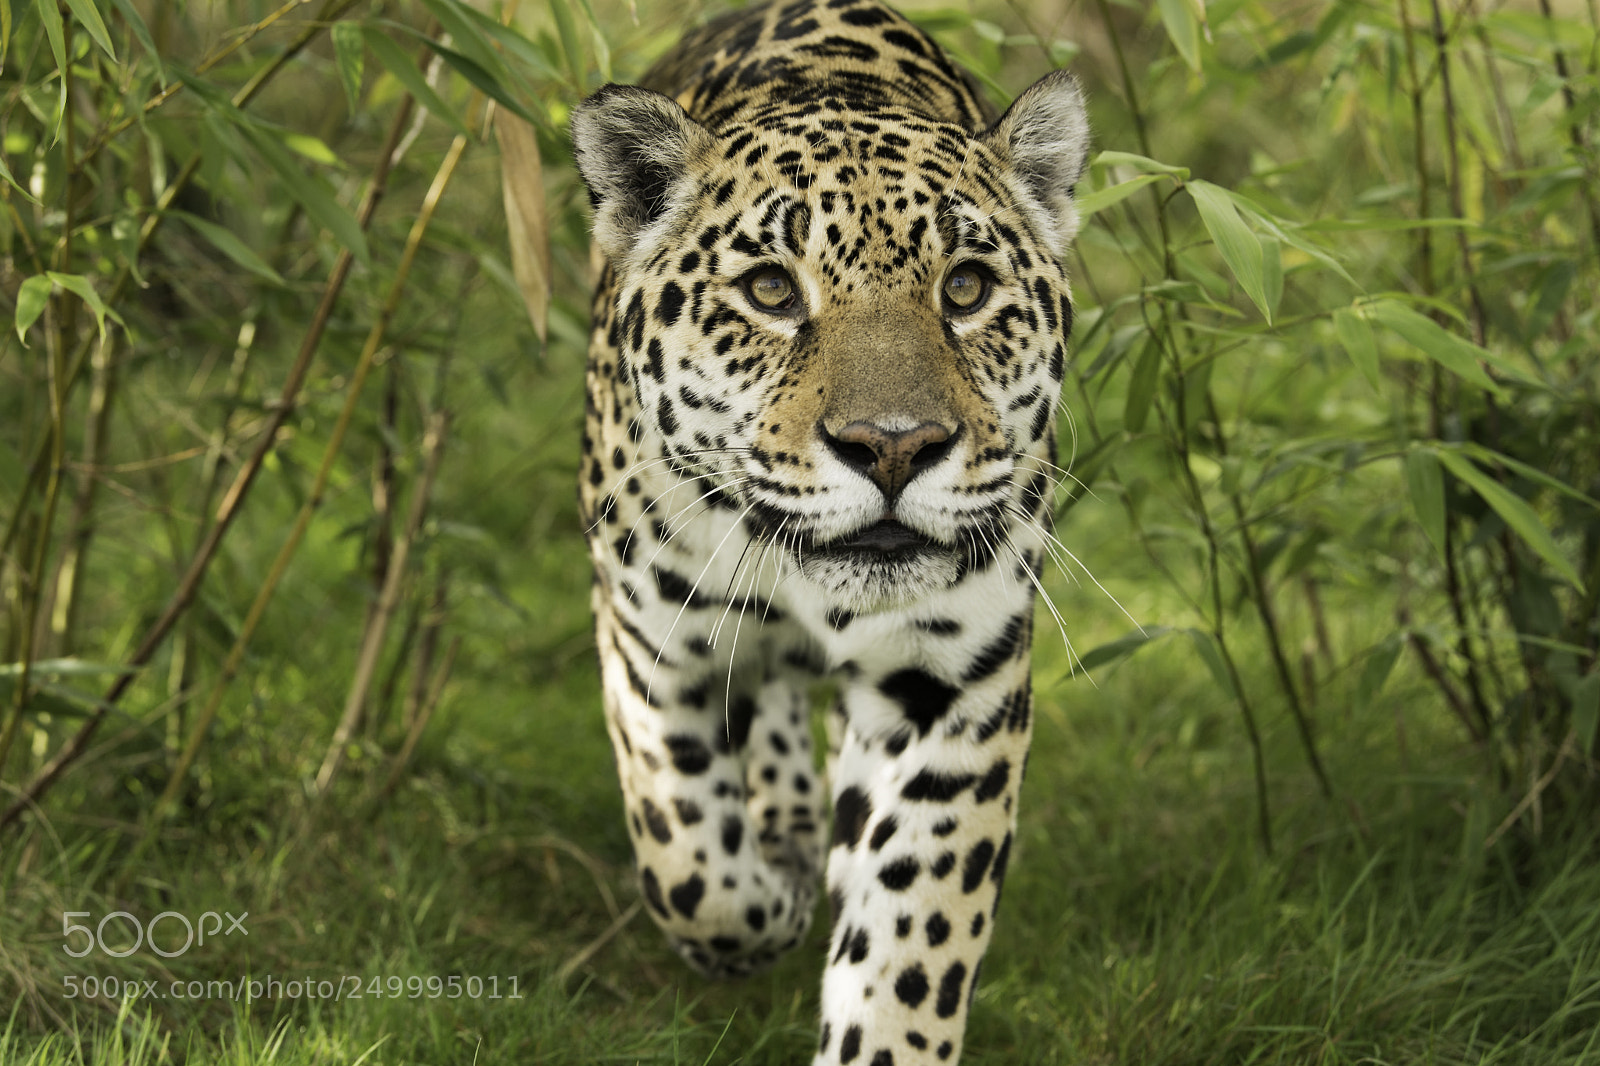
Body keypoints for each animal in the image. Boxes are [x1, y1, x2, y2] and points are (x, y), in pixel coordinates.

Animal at [565, 0, 1089, 1061]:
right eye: (771, 290)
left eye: (966, 288)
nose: (892, 447)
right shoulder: (648, 644)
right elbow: (691, 866)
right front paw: (766, 899)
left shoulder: (953, 689)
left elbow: (911, 938)